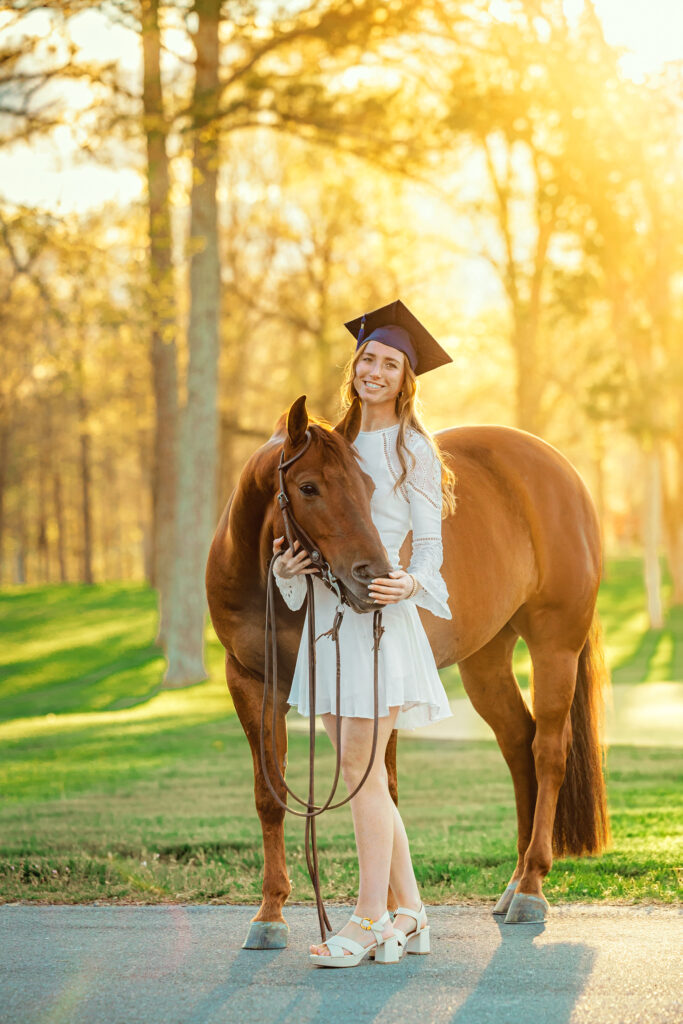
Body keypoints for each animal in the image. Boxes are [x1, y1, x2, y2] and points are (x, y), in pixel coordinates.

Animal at [204, 395, 610, 946]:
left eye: (369, 485)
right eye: (308, 487)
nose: (373, 575)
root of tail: (563, 471)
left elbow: (383, 792)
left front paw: (392, 915)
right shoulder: (249, 683)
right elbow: (272, 796)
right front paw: (270, 914)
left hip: (555, 646)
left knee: (547, 751)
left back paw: (530, 888)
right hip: (486, 661)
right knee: (518, 744)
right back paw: (514, 882)